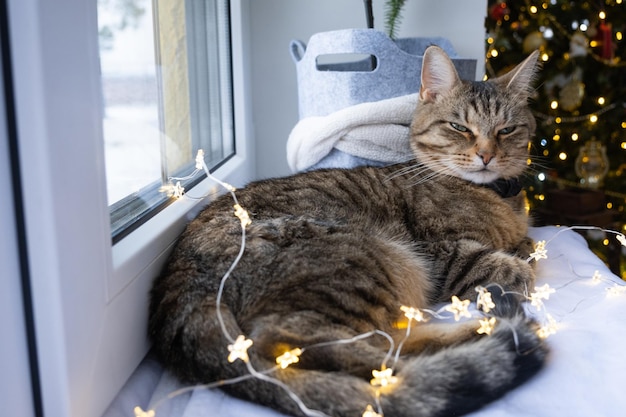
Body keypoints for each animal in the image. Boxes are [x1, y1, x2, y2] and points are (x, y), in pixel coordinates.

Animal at [149, 45, 544, 416]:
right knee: (305, 346)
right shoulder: (440, 251)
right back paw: (493, 332)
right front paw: (515, 269)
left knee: (387, 339)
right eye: (460, 127)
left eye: (507, 129)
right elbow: (501, 264)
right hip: (370, 258)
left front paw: (522, 246)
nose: (486, 155)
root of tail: (179, 282)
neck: (500, 197)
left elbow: (525, 245)